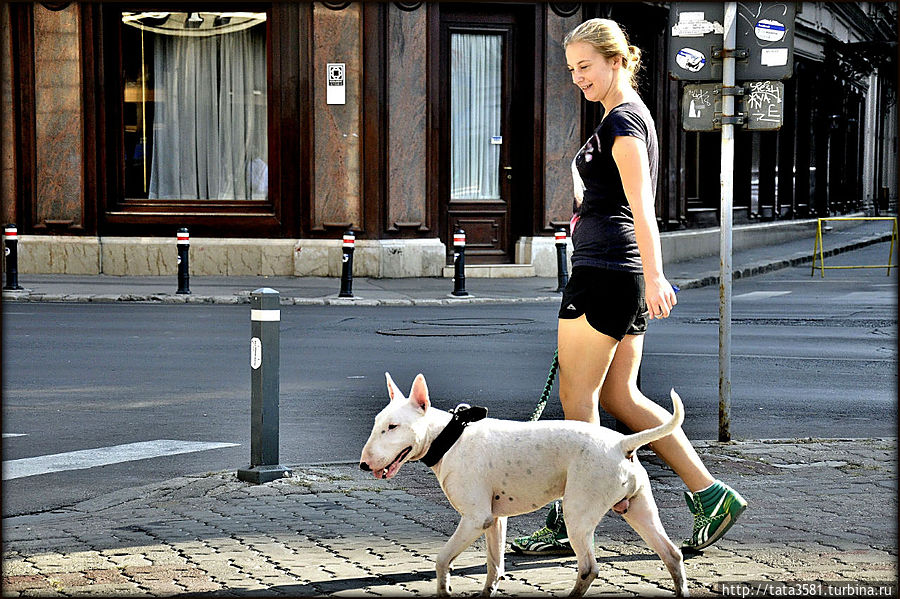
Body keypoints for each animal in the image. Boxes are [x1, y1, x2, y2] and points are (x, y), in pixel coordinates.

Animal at [358, 372, 688, 596]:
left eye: (393, 427)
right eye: (377, 424)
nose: (363, 464)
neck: (450, 438)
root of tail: (622, 443)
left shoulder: (475, 519)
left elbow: (441, 560)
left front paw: (444, 590)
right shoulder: (494, 519)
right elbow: (494, 564)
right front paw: (486, 592)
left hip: (578, 512)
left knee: (588, 567)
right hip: (639, 509)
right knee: (672, 554)